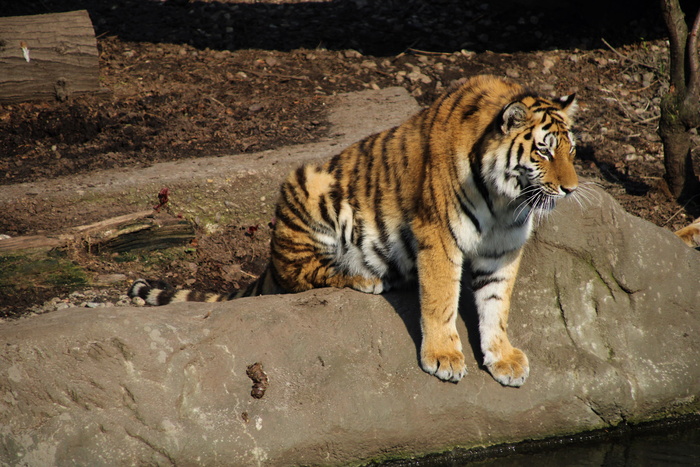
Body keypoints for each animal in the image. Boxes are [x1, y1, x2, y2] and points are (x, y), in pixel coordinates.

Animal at [129, 74, 579, 387]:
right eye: (543, 150)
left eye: (572, 150)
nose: (571, 189)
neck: (506, 201)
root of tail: (271, 256)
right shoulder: (438, 235)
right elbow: (440, 300)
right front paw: (443, 357)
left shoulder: (502, 248)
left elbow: (496, 305)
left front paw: (503, 359)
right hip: (308, 186)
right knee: (299, 277)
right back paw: (365, 278)